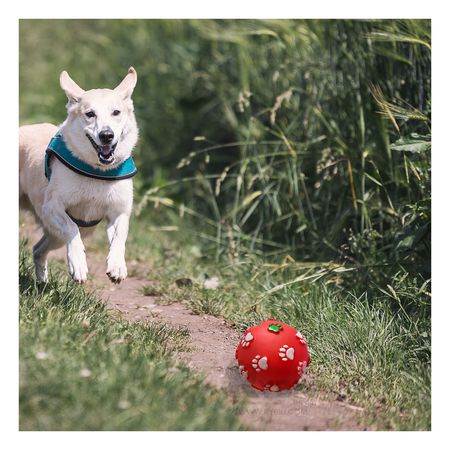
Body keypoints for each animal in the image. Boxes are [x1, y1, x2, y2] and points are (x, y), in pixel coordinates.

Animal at [19, 66, 139, 284]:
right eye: (90, 114)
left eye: (116, 112)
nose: (106, 135)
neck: (97, 171)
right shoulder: (52, 207)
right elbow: (71, 228)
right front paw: (78, 264)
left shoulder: (119, 211)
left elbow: (120, 237)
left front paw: (117, 266)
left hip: (58, 235)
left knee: (38, 249)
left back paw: (42, 282)